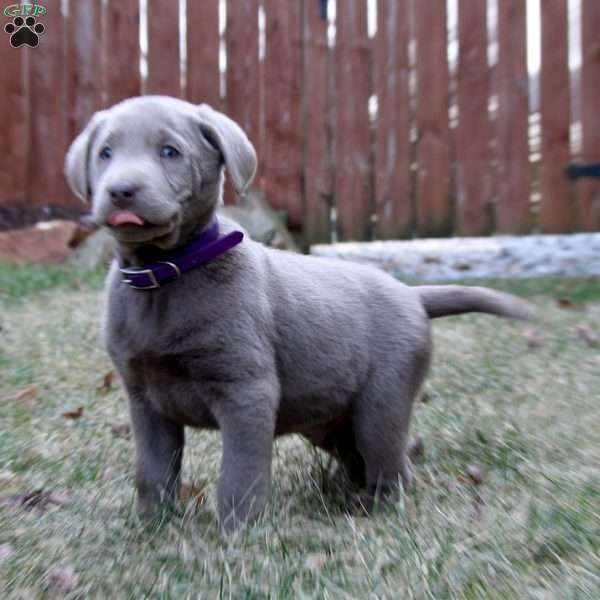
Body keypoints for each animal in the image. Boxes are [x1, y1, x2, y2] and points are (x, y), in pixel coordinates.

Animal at [63, 96, 528, 532]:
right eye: (105, 153)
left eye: (170, 152)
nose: (121, 191)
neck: (164, 276)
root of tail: (412, 294)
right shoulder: (145, 399)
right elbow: (154, 471)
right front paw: (153, 526)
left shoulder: (247, 391)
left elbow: (240, 474)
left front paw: (239, 535)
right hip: (329, 420)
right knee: (358, 454)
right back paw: (343, 491)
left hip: (383, 402)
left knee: (391, 462)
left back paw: (374, 508)